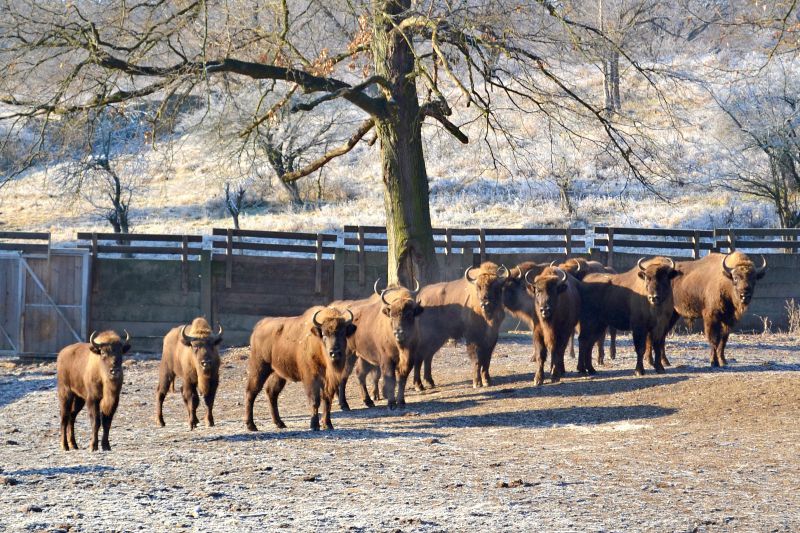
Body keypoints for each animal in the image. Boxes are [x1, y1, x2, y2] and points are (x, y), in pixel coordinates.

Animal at [338, 280, 424, 410]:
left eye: (409, 314)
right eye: (392, 315)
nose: (398, 332)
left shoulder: (409, 359)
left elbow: (402, 378)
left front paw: (401, 402)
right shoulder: (387, 359)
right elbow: (390, 378)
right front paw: (391, 404)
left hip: (364, 357)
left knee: (360, 374)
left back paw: (368, 401)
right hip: (349, 355)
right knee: (344, 376)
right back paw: (344, 405)